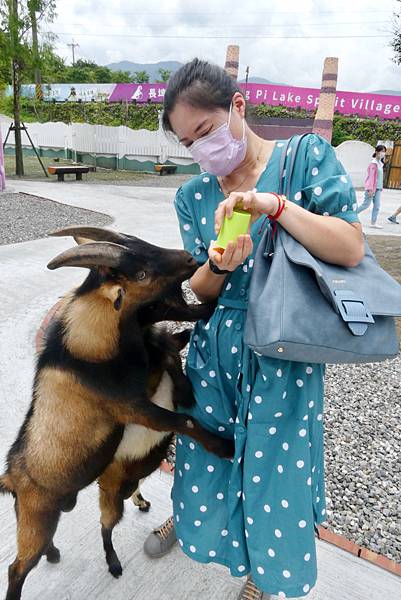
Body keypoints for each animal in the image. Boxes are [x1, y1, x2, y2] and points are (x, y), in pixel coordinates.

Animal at [0, 226, 231, 600]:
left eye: (145, 244)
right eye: (142, 275)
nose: (192, 260)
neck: (85, 352)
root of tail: (10, 478)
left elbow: (173, 358)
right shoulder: (131, 405)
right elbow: (182, 417)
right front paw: (224, 446)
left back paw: (56, 553)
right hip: (39, 515)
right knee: (20, 566)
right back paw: (105, 563)